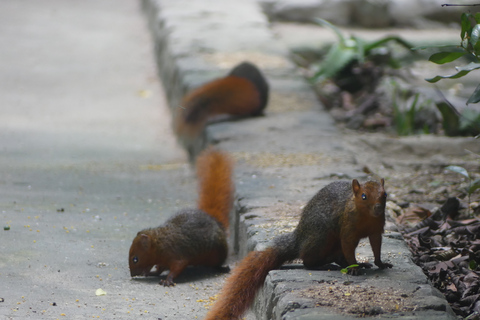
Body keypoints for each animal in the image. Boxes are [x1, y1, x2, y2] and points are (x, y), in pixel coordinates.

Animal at [126, 147, 233, 284]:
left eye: (135, 259)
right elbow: (160, 269)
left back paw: (222, 268)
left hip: (218, 252)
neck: (160, 243)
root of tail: (217, 223)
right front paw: (151, 273)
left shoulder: (176, 254)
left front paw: (167, 280)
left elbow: (177, 267)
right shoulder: (163, 260)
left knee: (217, 263)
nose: (132, 274)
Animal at [204, 179, 392, 318]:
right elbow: (348, 245)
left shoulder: (376, 229)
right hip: (321, 238)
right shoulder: (347, 229)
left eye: (384, 194)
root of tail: (298, 239)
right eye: (364, 196)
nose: (378, 208)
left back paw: (357, 264)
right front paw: (354, 268)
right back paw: (325, 266)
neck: (367, 217)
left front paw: (379, 263)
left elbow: (376, 246)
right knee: (307, 260)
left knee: (338, 258)